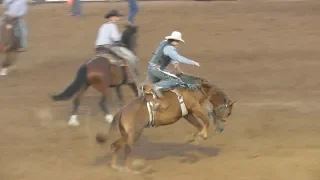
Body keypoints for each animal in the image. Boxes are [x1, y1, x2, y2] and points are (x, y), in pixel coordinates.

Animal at [95, 74, 235, 172]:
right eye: (229, 113)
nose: (222, 126)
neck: (195, 89)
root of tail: (122, 110)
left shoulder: (187, 114)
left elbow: (198, 124)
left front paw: (193, 138)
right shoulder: (195, 107)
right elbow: (205, 120)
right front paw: (203, 135)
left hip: (126, 134)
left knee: (115, 146)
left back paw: (116, 167)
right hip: (134, 133)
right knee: (127, 149)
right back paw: (132, 170)